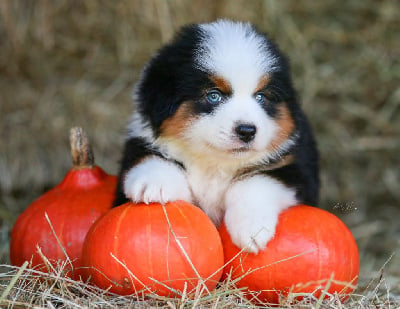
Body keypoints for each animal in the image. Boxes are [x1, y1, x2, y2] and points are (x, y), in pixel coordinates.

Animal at [114, 19, 320, 253]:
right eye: (214, 95)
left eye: (261, 96)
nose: (247, 130)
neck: (214, 163)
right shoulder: (142, 143)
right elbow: (151, 159)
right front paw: (154, 183)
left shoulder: (294, 169)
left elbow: (256, 180)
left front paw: (252, 229)